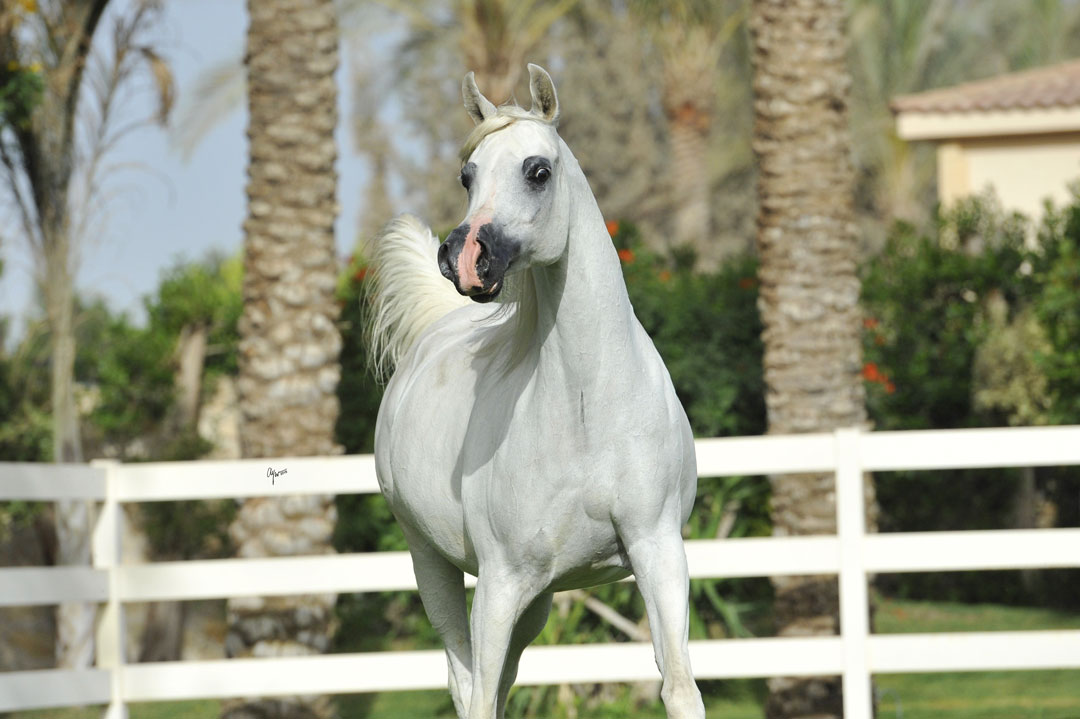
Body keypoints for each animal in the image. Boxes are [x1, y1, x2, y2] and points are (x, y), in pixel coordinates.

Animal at [365, 64, 705, 719]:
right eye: (468, 175)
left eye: (538, 170)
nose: (464, 256)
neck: (588, 410)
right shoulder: (500, 583)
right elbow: (478, 693)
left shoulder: (658, 551)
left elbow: (678, 686)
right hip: (432, 563)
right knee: (466, 682)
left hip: (539, 598)